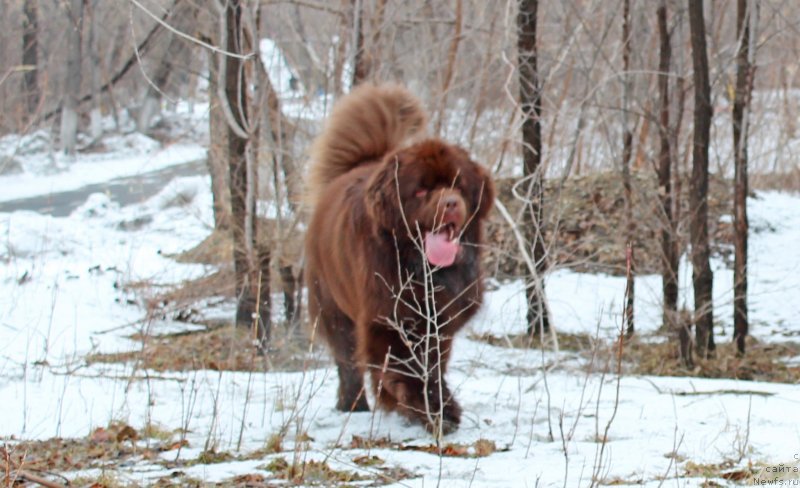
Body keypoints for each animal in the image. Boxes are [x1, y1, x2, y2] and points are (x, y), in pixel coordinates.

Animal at [304, 84, 494, 434]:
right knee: (346, 358)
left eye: (459, 185)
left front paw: (433, 406)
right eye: (420, 191)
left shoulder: (441, 318)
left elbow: (431, 364)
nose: (450, 203)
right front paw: (431, 409)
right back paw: (353, 404)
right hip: (331, 304)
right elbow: (404, 364)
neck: (421, 267)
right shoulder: (386, 314)